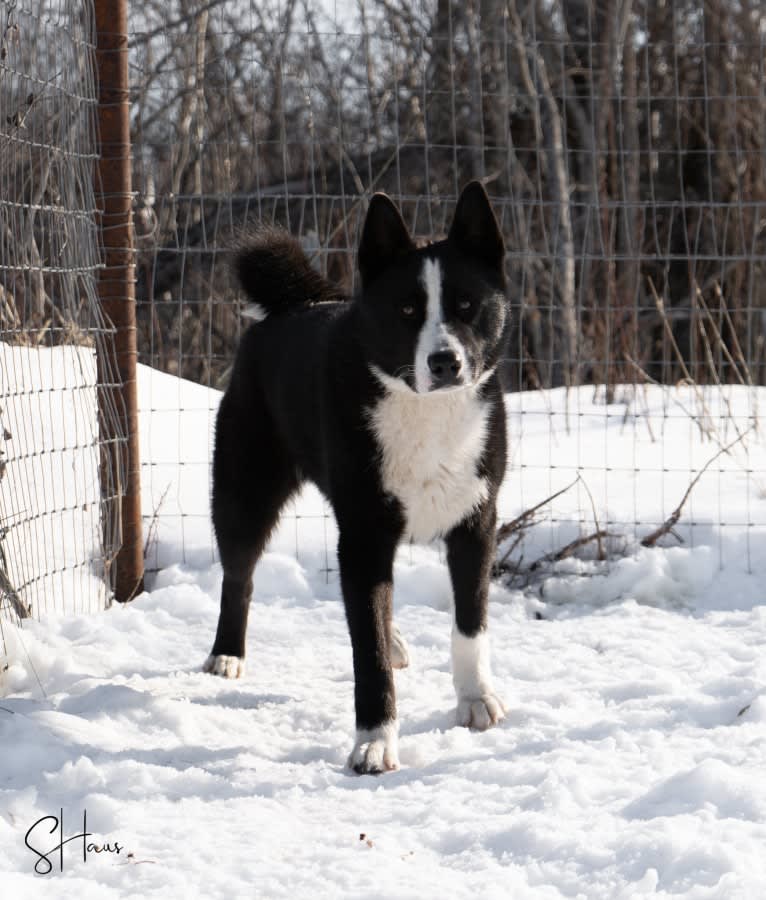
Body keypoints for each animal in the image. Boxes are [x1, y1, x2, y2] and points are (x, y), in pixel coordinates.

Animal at [207, 183, 512, 772]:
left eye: (466, 305)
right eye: (407, 309)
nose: (445, 362)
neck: (425, 413)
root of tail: (294, 302)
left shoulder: (476, 523)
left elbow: (471, 625)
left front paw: (474, 699)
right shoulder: (366, 534)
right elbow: (366, 653)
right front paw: (374, 742)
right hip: (243, 490)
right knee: (239, 576)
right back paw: (227, 655)